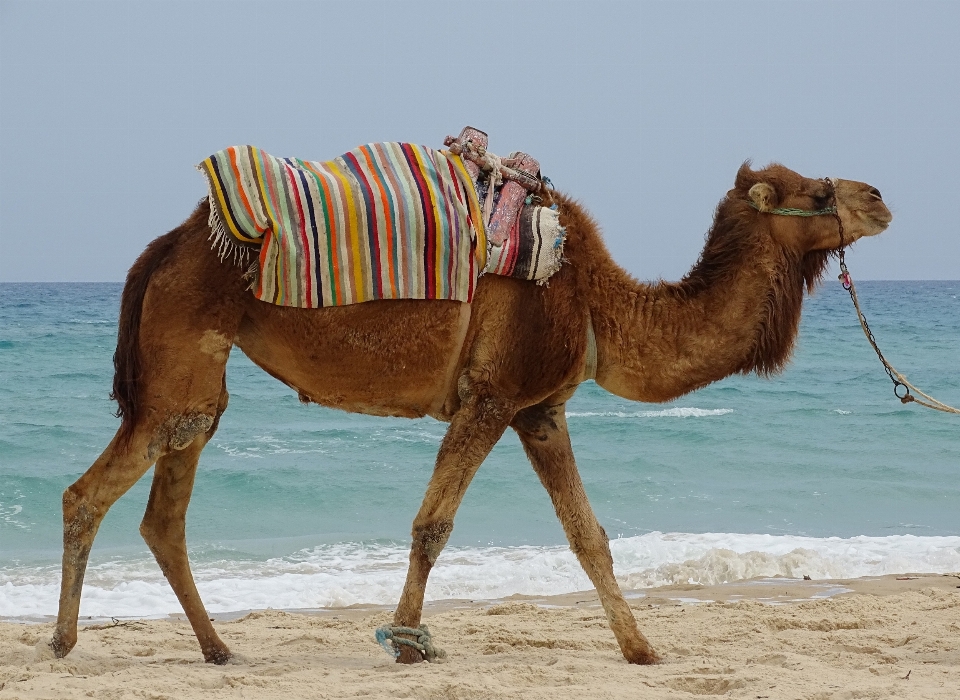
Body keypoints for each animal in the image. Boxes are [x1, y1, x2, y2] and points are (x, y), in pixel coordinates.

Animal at [50, 161, 892, 664]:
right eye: (817, 192)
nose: (881, 197)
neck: (596, 303)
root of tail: (164, 246)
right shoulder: (491, 396)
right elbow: (434, 524)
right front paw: (407, 642)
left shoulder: (540, 410)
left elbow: (589, 537)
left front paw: (642, 649)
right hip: (183, 348)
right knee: (90, 491)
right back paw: (63, 642)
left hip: (200, 374)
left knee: (166, 509)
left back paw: (219, 649)